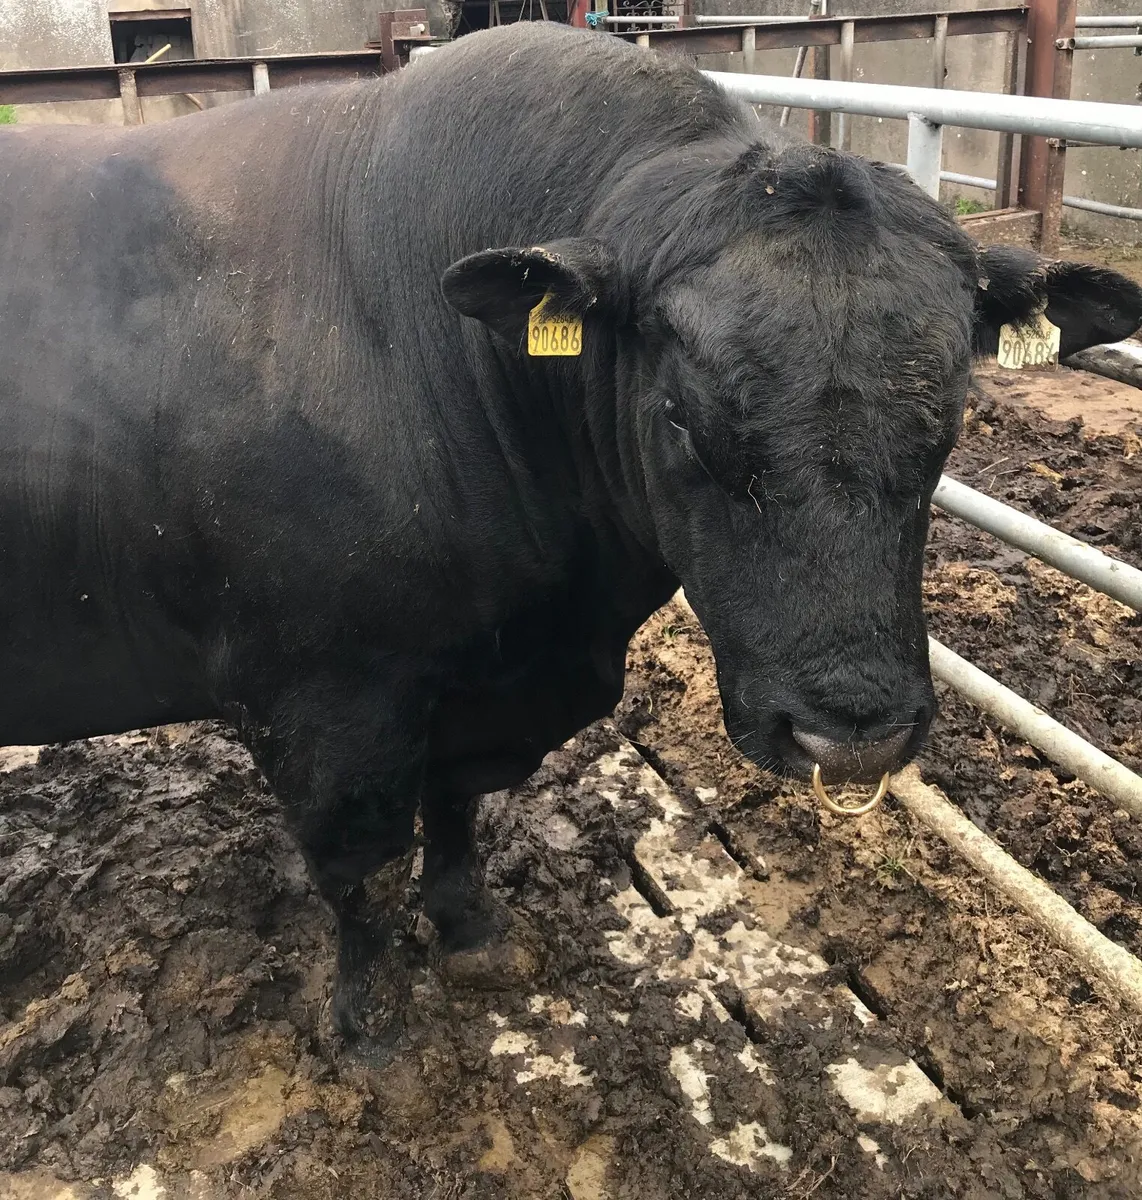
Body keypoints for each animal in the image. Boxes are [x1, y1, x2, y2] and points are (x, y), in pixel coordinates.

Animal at [2, 22, 1139, 1057]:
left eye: (949, 415)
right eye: (679, 415)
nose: (849, 733)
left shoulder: (475, 688)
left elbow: (454, 810)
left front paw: (471, 935)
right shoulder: (323, 703)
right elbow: (360, 868)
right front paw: (371, 1029)